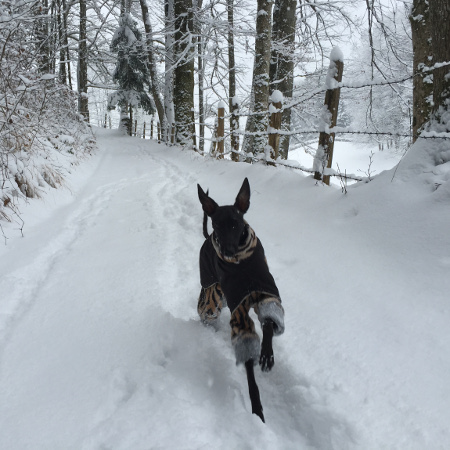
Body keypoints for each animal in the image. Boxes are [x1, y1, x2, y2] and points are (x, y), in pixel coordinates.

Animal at [197, 177, 285, 422]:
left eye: (236, 224)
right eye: (217, 225)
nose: (226, 251)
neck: (240, 263)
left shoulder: (266, 293)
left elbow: (268, 324)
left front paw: (267, 355)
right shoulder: (239, 314)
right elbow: (248, 367)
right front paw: (257, 410)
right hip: (211, 294)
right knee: (206, 311)